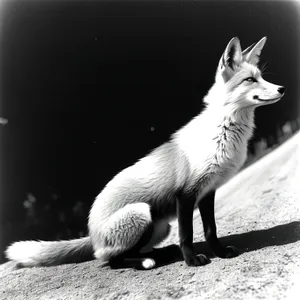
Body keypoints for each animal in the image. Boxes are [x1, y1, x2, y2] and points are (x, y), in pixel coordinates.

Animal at [5, 35, 284, 270]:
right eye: (250, 80)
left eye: (261, 77)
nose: (282, 88)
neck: (223, 134)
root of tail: (92, 234)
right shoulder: (186, 194)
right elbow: (187, 235)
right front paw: (192, 260)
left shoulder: (207, 192)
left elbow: (210, 230)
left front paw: (220, 253)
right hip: (141, 214)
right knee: (111, 261)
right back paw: (148, 262)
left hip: (160, 226)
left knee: (126, 253)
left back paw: (161, 254)